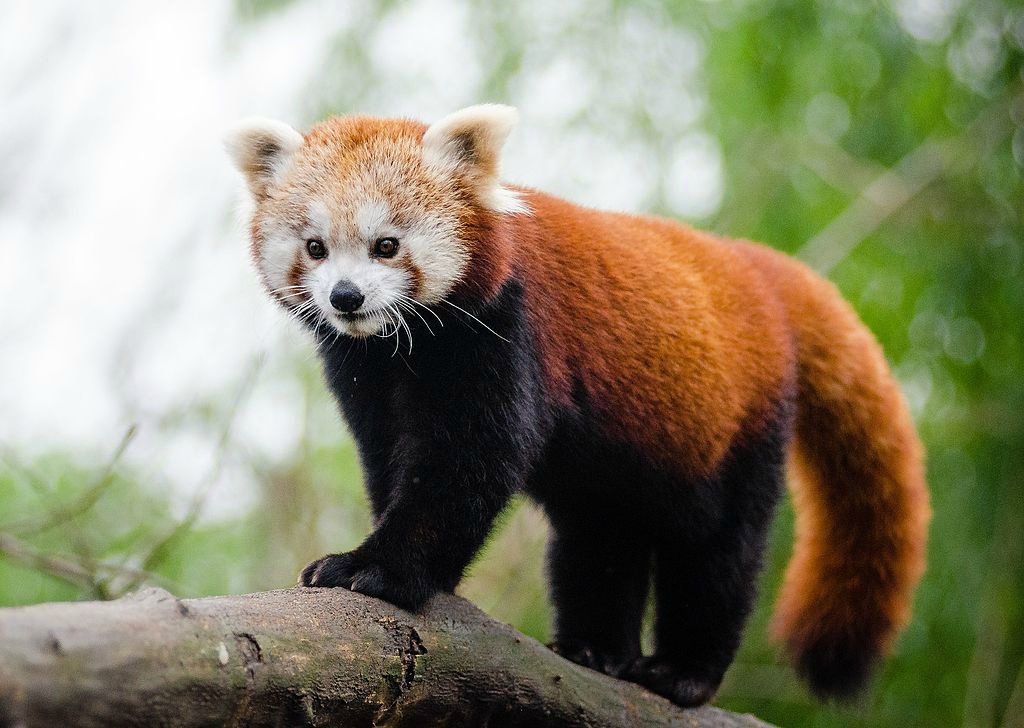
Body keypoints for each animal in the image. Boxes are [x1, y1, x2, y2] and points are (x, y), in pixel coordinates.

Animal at [228, 105, 933, 708]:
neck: (406, 349)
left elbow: (469, 462)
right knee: (601, 536)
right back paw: (596, 650)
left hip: (736, 425)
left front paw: (378, 568)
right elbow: (391, 459)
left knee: (718, 550)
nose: (345, 297)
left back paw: (683, 672)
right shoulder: (367, 374)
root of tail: (753, 268)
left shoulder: (507, 329)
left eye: (386, 245)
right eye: (315, 248)